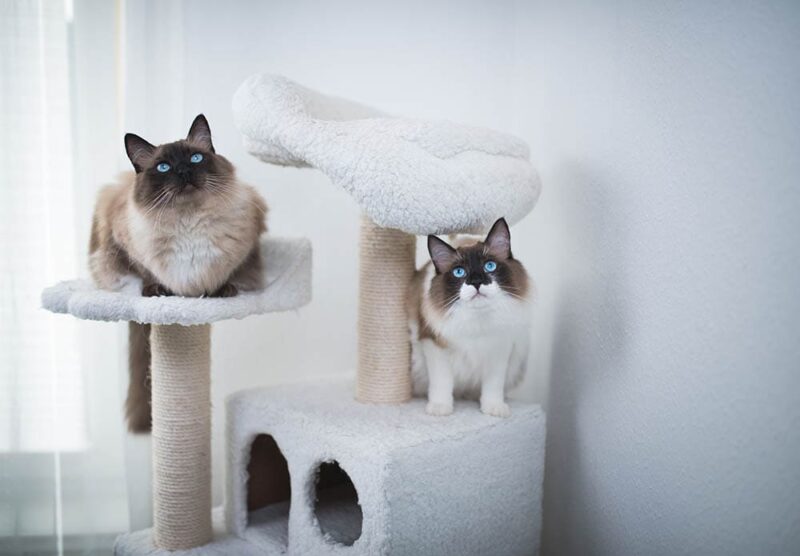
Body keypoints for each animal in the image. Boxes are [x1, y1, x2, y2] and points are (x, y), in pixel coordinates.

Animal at [89, 114, 268, 434]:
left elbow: (227, 276)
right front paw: (158, 291)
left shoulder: (245, 247)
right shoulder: (127, 247)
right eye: (164, 167)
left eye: (196, 158)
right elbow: (147, 275)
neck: (189, 223)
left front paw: (221, 291)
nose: (184, 171)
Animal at [410, 217, 536, 416]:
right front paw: (440, 408)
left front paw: (493, 408)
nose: (477, 282)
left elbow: (493, 386)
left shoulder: (500, 348)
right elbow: (441, 382)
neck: (478, 322)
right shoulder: (435, 345)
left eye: (489, 266)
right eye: (459, 272)